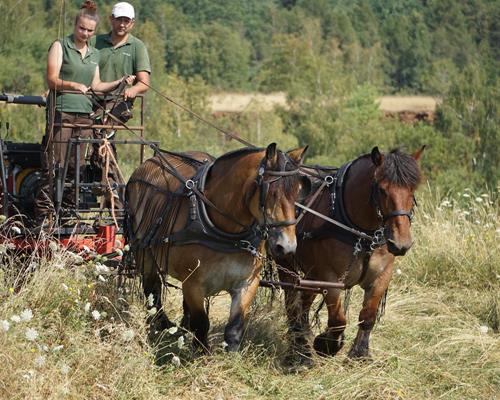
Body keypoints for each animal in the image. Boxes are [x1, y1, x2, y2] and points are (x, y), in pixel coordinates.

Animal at [125, 143, 310, 350]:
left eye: (297, 194)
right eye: (272, 192)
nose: (287, 247)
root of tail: (148, 162)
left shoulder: (247, 282)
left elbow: (235, 326)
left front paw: (230, 353)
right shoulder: (193, 284)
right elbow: (201, 323)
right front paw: (201, 352)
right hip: (144, 253)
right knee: (152, 289)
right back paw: (159, 325)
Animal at [280, 147, 424, 366]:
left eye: (412, 190)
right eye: (382, 190)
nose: (401, 243)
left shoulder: (381, 276)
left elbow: (368, 316)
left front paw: (360, 353)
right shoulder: (330, 278)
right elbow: (338, 320)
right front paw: (326, 344)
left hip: (311, 273)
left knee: (304, 300)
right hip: (286, 263)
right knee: (292, 304)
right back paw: (300, 347)